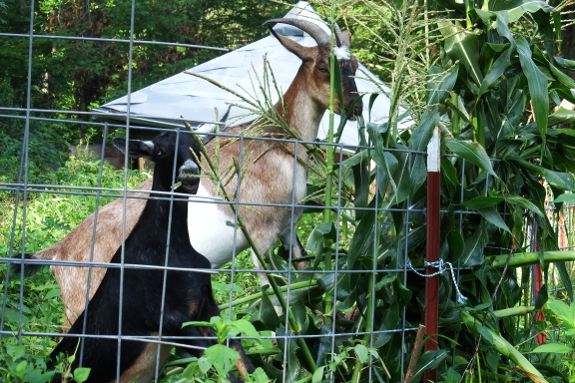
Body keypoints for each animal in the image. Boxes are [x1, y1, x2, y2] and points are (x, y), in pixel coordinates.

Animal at [24, 18, 364, 328]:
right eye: (322, 67)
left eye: (355, 65)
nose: (355, 106)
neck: (275, 140)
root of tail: (57, 251)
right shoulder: (260, 237)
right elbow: (277, 302)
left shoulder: (288, 229)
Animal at [47, 130, 254, 382]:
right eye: (159, 151)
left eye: (196, 147)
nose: (189, 173)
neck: (171, 248)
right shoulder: (171, 319)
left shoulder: (206, 307)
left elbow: (237, 355)